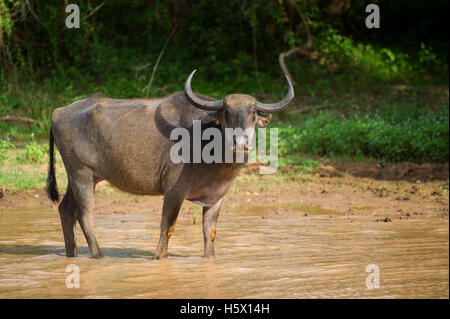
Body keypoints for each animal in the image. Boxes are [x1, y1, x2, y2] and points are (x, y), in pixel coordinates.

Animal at [47, 70, 294, 260]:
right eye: (226, 111)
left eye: (253, 113)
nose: (241, 141)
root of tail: (57, 112)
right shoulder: (174, 190)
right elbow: (168, 226)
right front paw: (159, 257)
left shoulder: (216, 197)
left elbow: (210, 232)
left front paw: (209, 258)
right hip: (81, 173)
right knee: (84, 214)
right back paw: (98, 255)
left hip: (80, 177)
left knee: (65, 210)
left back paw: (72, 255)